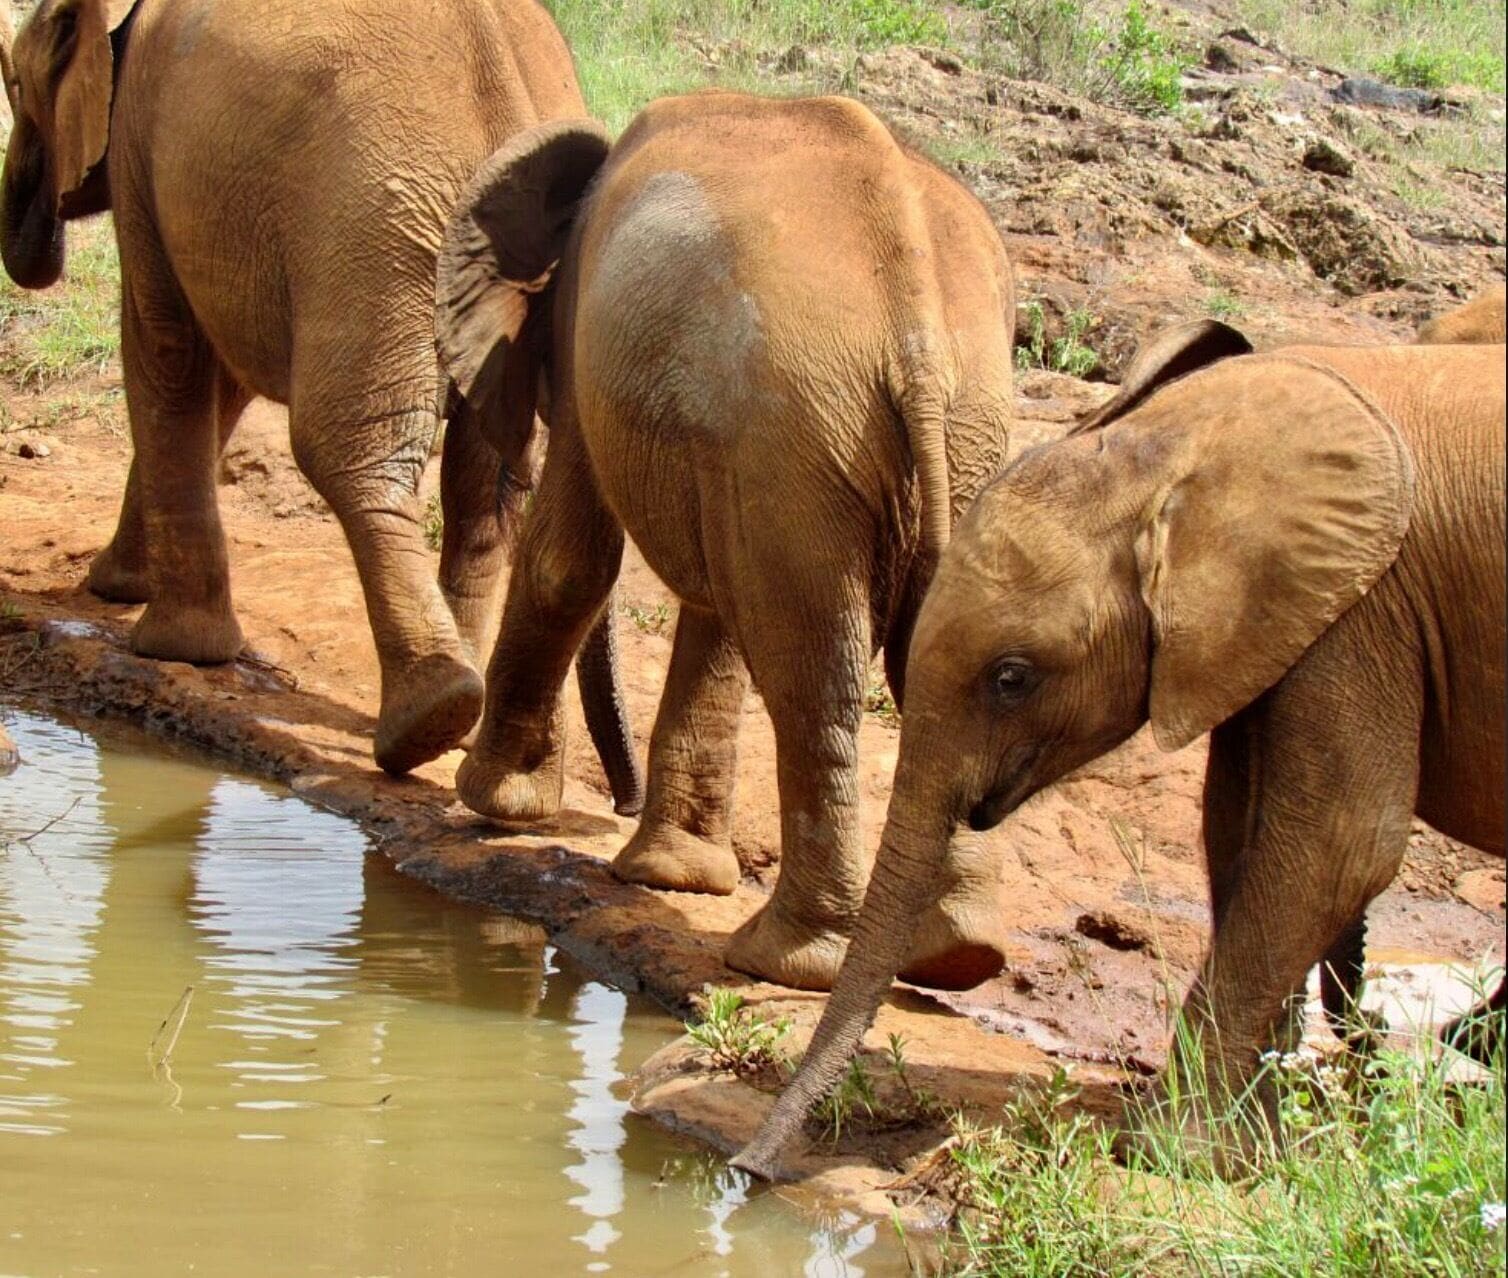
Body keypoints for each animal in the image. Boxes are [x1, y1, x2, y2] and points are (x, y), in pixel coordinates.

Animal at [0, 0, 643, 804]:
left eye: (13, 85)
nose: (623, 799)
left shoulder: (145, 142)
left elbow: (168, 345)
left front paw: (165, 641)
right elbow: (223, 377)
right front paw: (118, 586)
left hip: (372, 231)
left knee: (347, 448)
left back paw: (428, 719)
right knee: (485, 485)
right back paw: (457, 716)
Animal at [435, 92, 1016, 991]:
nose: (619, 801)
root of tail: (919, 335)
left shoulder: (586, 338)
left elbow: (571, 561)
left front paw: (492, 804)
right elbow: (716, 621)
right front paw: (670, 879)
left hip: (799, 425)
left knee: (814, 680)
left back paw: (783, 960)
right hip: (939, 441)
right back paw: (953, 956)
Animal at [734, 322, 1506, 1177]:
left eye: (1012, 679)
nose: (746, 1171)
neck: (1175, 452)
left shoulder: (1367, 606)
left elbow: (1338, 848)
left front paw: (1167, 1151)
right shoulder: (1274, 623)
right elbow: (1238, 832)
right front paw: (1249, 1147)